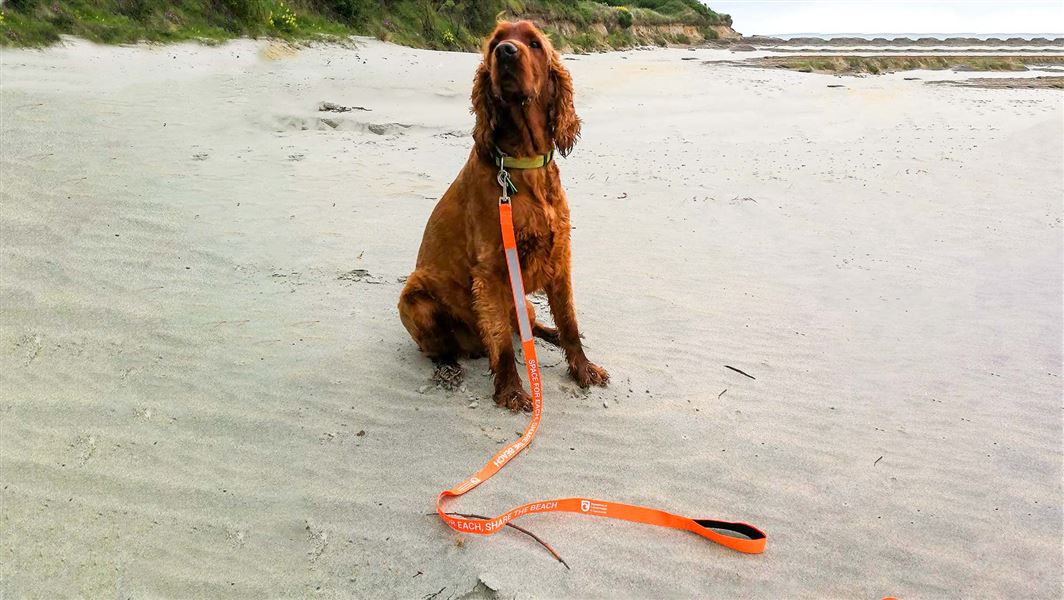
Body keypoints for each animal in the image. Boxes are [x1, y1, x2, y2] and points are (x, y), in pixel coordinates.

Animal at [397, 21, 608, 410]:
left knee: (527, 326)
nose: (505, 52)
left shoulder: (559, 259)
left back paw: (549, 334)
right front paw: (510, 391)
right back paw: (448, 369)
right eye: (496, 41)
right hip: (415, 300)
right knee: (446, 348)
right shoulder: (492, 272)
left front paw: (583, 369)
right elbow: (502, 346)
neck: (522, 163)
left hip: (523, 304)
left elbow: (569, 322)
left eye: (534, 43)